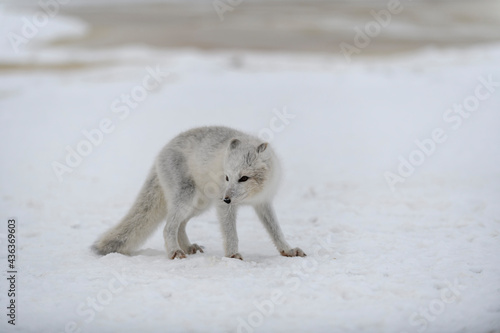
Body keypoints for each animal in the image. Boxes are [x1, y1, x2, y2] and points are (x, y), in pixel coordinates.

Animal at [92, 126, 306, 258]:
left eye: (244, 178)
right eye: (227, 177)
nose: (226, 198)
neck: (253, 195)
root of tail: (160, 153)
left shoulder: (264, 203)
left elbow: (276, 231)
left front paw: (287, 250)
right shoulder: (223, 207)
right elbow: (231, 234)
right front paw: (232, 255)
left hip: (200, 205)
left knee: (180, 225)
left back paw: (188, 247)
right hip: (187, 197)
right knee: (168, 226)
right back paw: (175, 252)